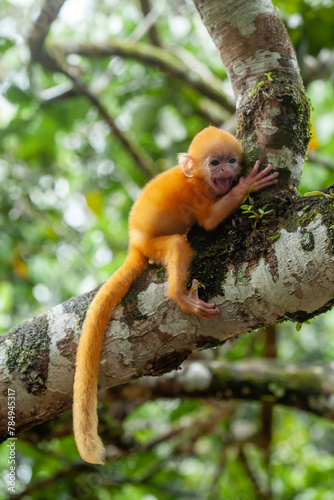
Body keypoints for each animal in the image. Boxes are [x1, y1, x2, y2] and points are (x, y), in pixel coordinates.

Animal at [73, 126, 280, 464]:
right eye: (215, 163)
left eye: (231, 160)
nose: (227, 172)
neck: (198, 180)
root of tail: (135, 243)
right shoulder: (197, 196)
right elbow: (209, 221)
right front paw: (247, 185)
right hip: (153, 246)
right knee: (177, 246)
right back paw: (180, 295)